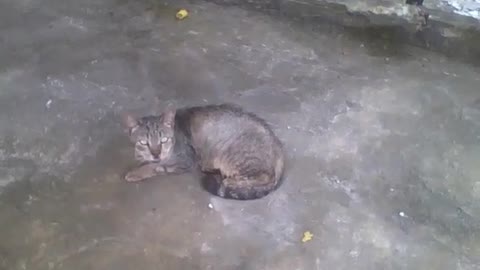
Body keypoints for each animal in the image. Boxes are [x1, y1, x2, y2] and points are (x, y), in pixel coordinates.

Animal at [122, 103, 284, 200]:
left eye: (163, 140)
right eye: (144, 142)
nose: (156, 153)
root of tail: (278, 146)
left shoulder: (185, 159)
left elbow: (155, 166)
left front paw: (137, 172)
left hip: (237, 156)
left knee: (265, 176)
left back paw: (228, 181)